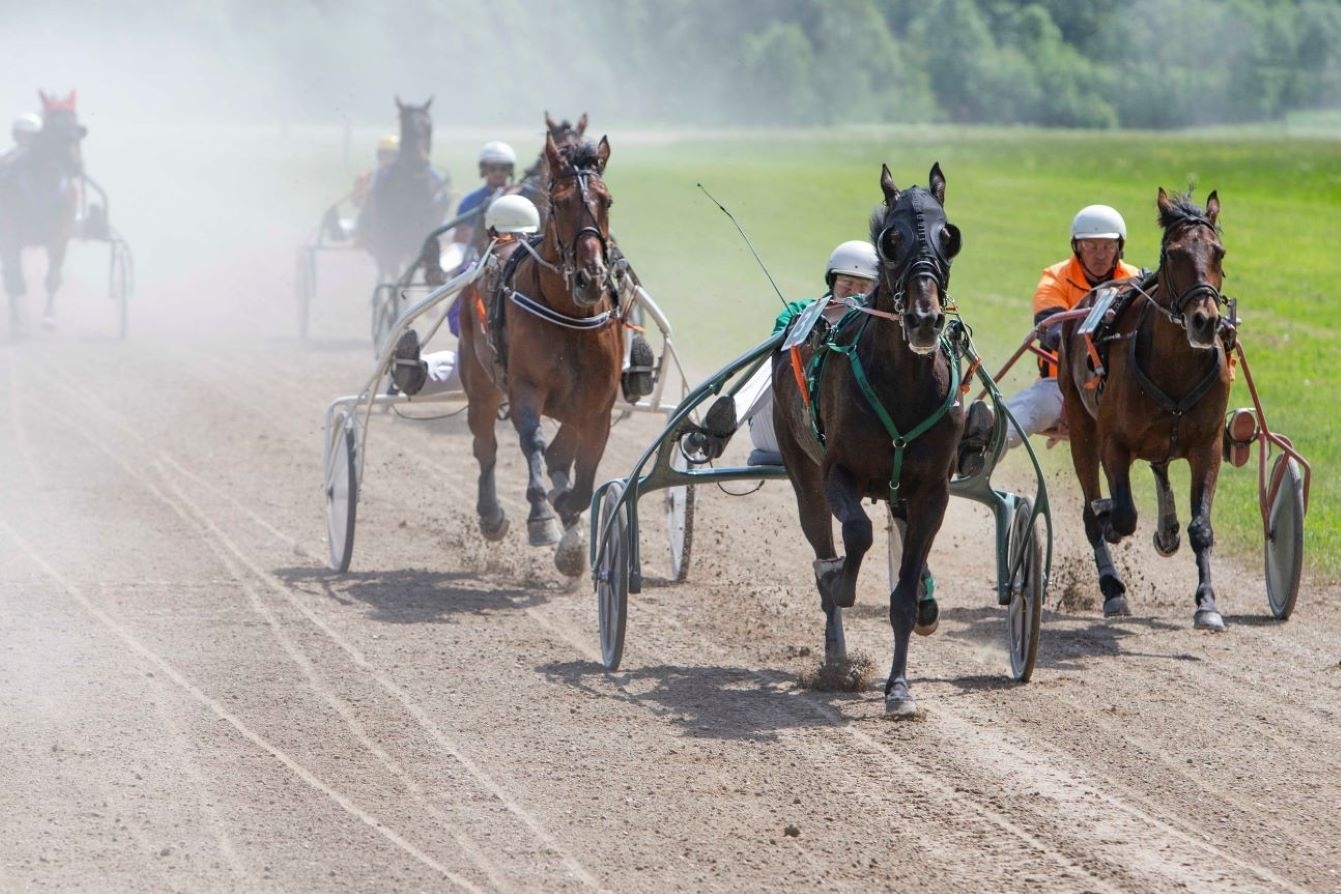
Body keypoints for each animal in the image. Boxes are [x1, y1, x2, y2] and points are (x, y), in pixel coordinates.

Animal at [0, 91, 86, 332]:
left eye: (78, 128)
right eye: (53, 127)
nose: (75, 166)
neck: (43, 184)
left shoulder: (60, 235)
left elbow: (53, 278)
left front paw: (49, 317)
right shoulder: (11, 234)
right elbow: (15, 278)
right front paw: (17, 321)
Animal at [362, 96, 450, 282]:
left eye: (428, 126)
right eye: (406, 128)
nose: (420, 163)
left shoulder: (418, 240)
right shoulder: (392, 243)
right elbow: (394, 272)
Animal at [458, 134, 624, 581]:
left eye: (606, 200)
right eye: (561, 202)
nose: (590, 277)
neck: (571, 317)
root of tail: (502, 238)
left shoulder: (596, 406)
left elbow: (582, 473)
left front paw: (568, 518)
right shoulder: (525, 387)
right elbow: (533, 442)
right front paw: (542, 518)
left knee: (558, 455)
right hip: (479, 382)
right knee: (485, 446)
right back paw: (491, 515)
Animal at [777, 164, 965, 718]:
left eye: (949, 236)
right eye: (892, 239)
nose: (924, 320)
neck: (903, 385)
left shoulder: (931, 493)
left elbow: (902, 595)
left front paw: (899, 688)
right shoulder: (837, 473)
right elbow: (856, 535)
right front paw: (842, 583)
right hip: (801, 472)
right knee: (823, 540)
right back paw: (836, 653)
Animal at [1062, 188, 1228, 629]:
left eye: (1219, 252)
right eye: (1173, 254)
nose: (1205, 321)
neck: (1175, 367)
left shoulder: (1208, 446)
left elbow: (1202, 527)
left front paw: (1207, 603)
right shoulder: (1113, 443)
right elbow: (1122, 515)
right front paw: (1111, 522)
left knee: (1160, 465)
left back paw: (1166, 530)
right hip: (1080, 428)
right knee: (1093, 510)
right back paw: (1112, 586)